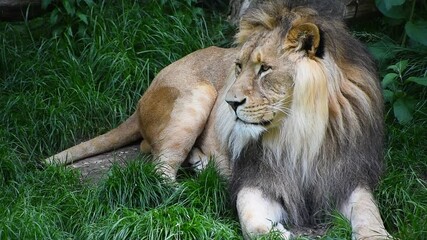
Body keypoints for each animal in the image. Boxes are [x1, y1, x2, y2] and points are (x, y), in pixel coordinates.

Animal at [46, 0, 392, 239]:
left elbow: (368, 212)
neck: (298, 133)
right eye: (238, 66)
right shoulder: (257, 177)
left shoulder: (346, 176)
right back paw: (192, 192)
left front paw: (377, 234)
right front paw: (274, 233)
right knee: (159, 170)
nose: (230, 102)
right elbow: (251, 220)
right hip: (196, 96)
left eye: (265, 69)